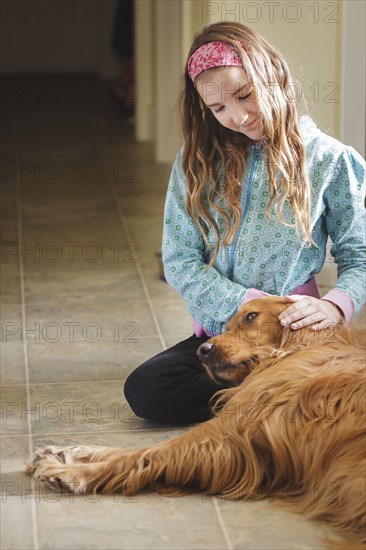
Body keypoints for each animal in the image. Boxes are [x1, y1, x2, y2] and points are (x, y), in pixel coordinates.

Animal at [27, 300, 366, 548]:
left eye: (251, 316)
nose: (202, 350)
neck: (296, 350)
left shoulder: (229, 432)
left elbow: (146, 453)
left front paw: (70, 473)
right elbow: (134, 450)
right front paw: (68, 453)